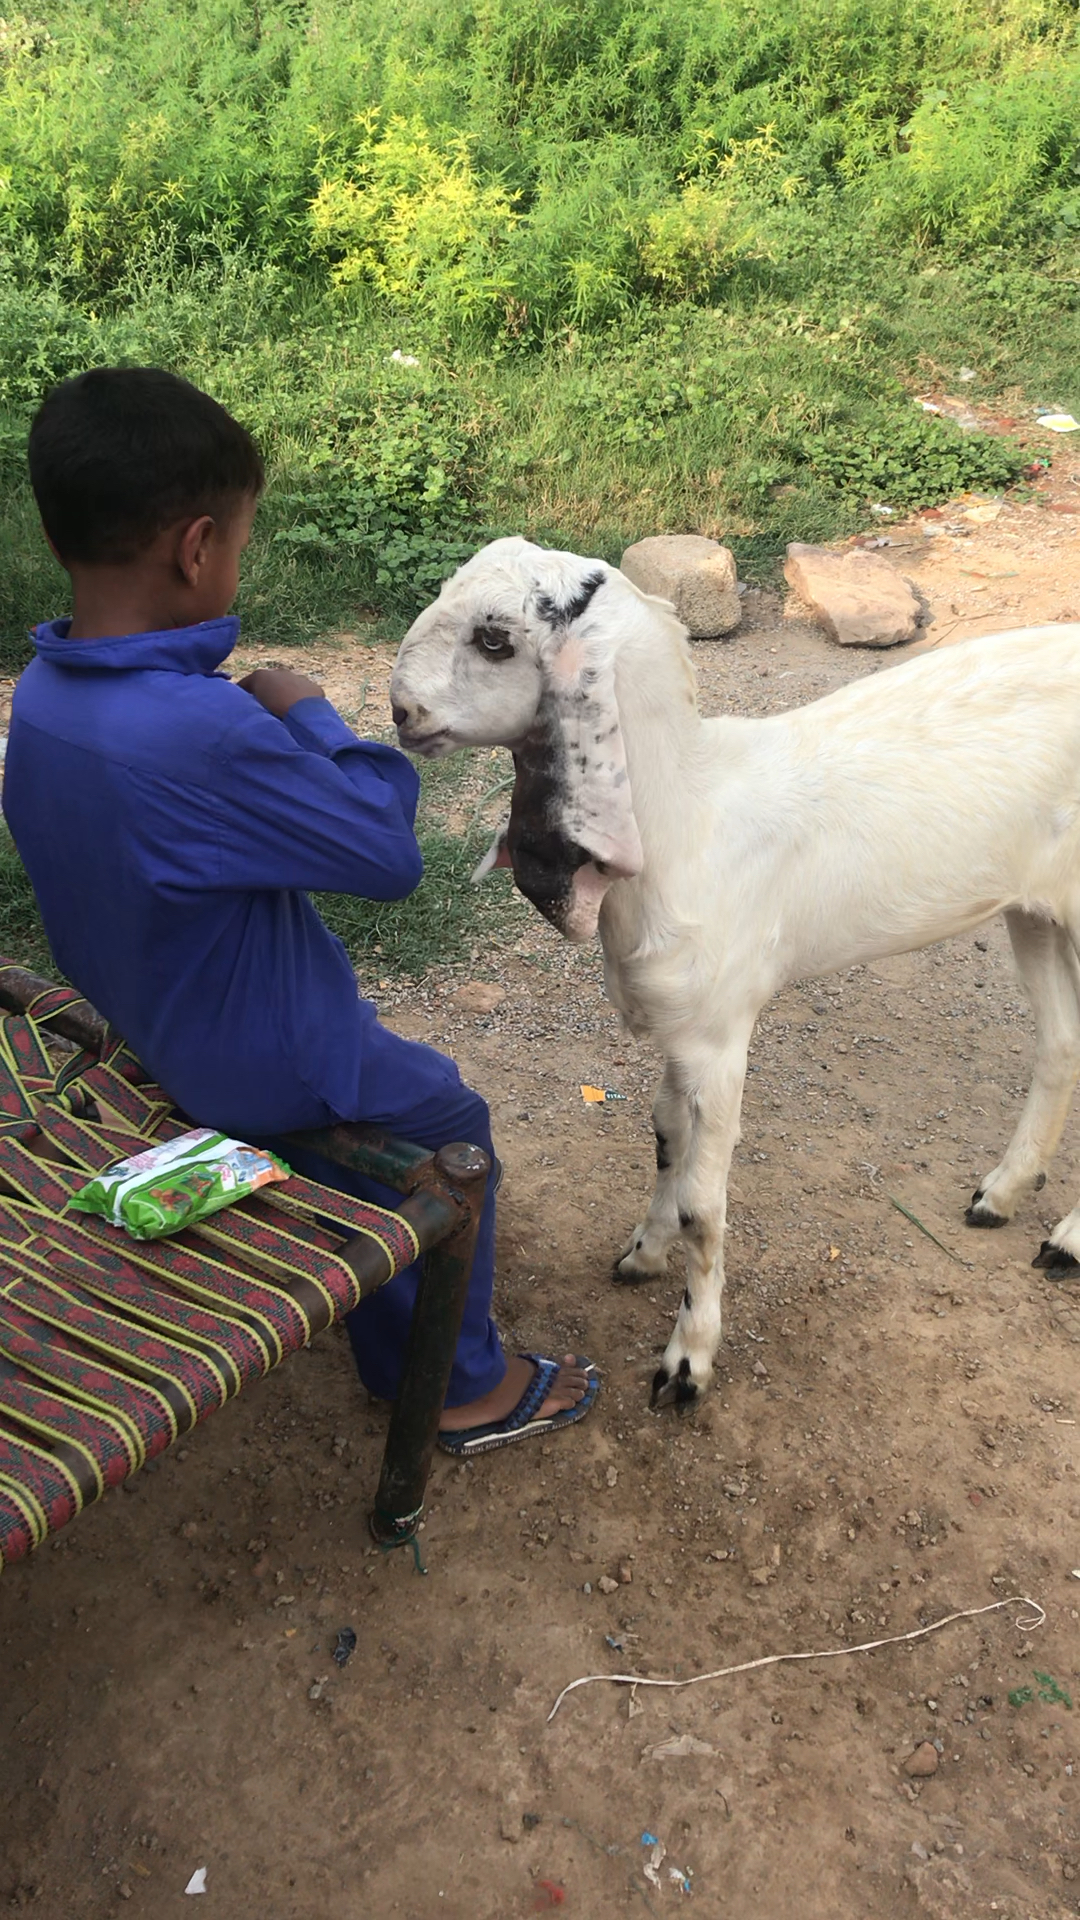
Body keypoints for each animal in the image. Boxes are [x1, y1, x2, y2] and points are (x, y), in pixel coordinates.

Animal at [390, 533, 1076, 1405]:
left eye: (493, 640)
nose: (400, 712)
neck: (691, 819)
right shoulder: (680, 1029)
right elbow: (663, 1138)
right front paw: (642, 1255)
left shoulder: (720, 1037)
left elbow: (704, 1208)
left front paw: (688, 1360)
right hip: (1037, 911)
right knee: (1061, 1047)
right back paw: (1003, 1194)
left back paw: (1067, 1239)